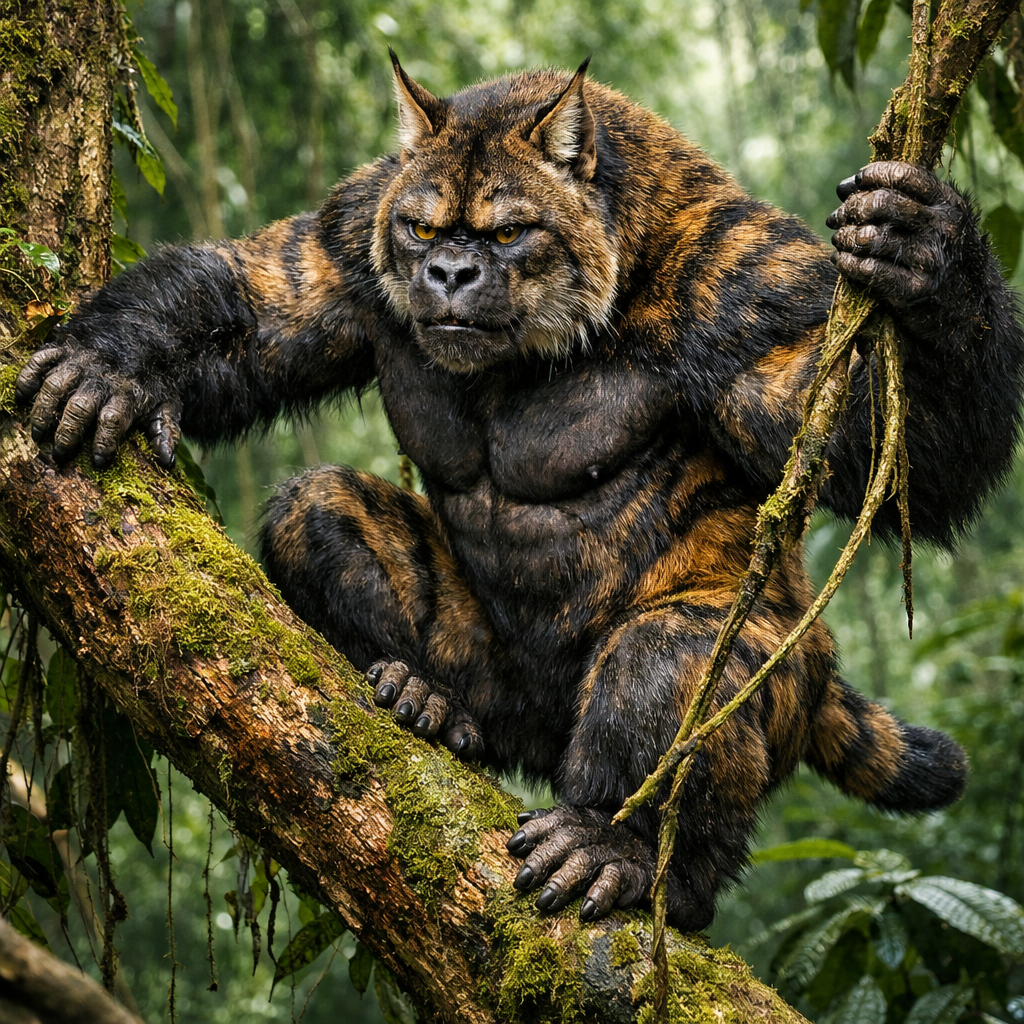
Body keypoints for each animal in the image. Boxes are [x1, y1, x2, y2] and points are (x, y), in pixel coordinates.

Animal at [15, 56, 1024, 931]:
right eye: (423, 229)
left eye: (508, 232)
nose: (450, 273)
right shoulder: (352, 226)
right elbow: (257, 304)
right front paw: (112, 366)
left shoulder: (752, 288)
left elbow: (891, 454)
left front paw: (930, 252)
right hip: (492, 682)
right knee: (316, 506)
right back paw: (424, 698)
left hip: (774, 674)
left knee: (673, 649)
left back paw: (622, 851)